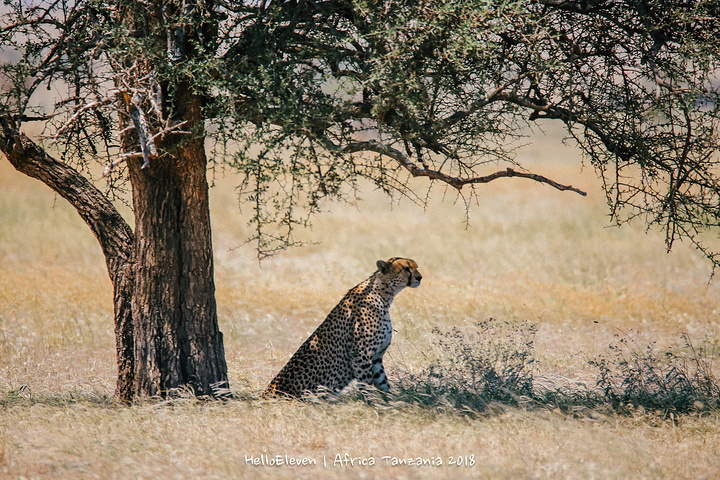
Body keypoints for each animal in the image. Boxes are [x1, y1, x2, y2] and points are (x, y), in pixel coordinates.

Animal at [262, 256, 422, 400]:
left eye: (416, 267)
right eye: (406, 268)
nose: (420, 277)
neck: (383, 295)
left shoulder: (376, 358)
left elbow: (384, 384)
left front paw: (390, 404)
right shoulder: (361, 355)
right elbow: (367, 386)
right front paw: (373, 406)